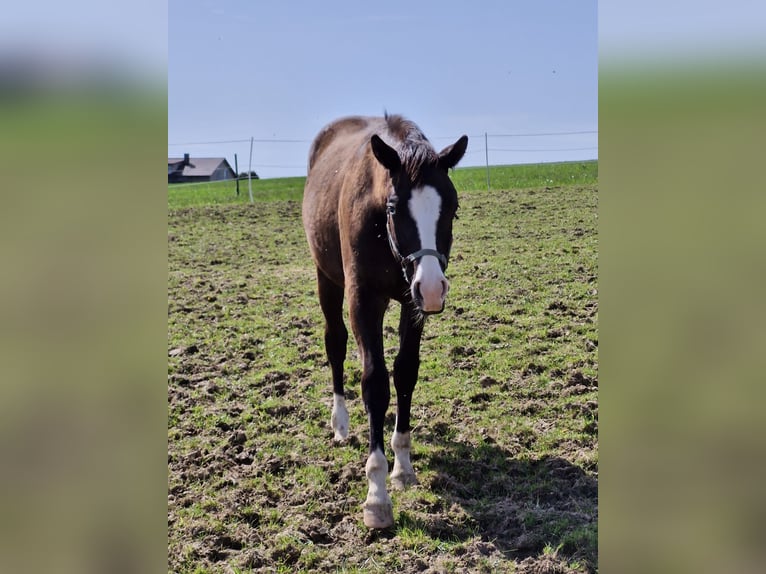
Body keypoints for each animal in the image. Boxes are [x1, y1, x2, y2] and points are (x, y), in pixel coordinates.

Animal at [302, 115, 468, 528]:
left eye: (453, 208)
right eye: (394, 208)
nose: (433, 287)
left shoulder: (413, 303)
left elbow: (405, 372)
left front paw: (403, 466)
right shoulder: (363, 301)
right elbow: (375, 383)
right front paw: (376, 494)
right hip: (326, 279)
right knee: (335, 343)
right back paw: (341, 423)